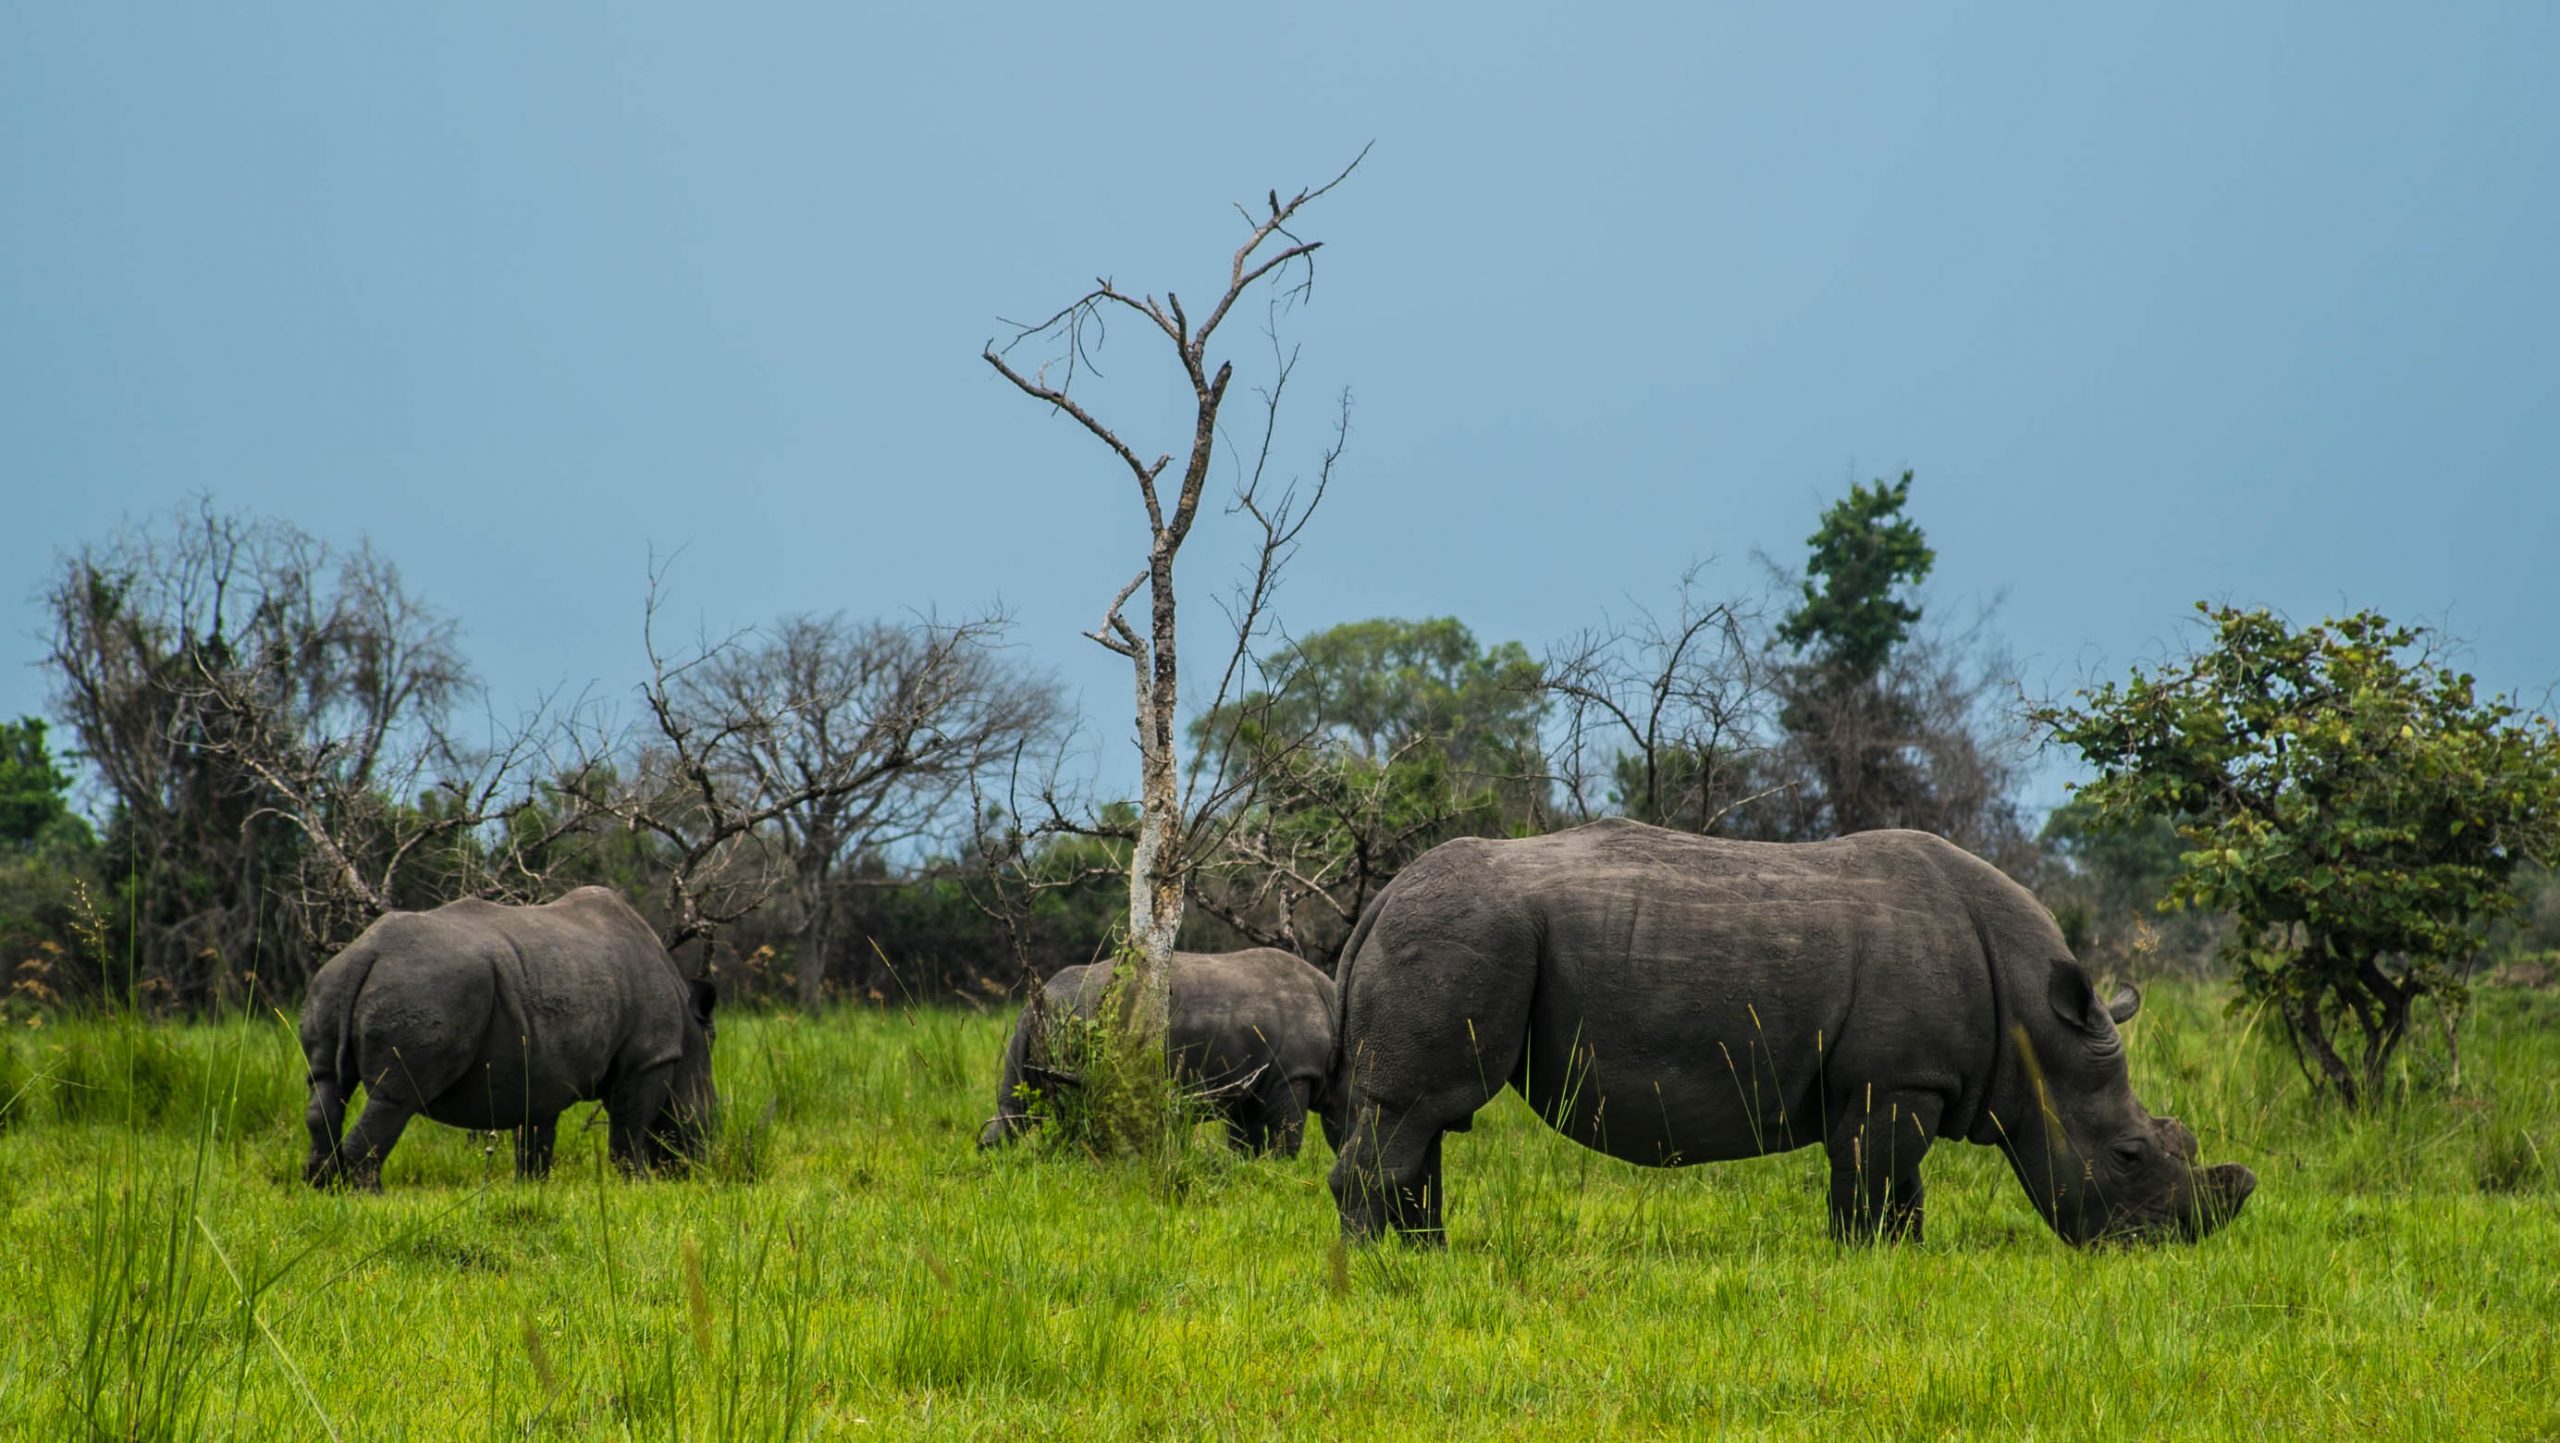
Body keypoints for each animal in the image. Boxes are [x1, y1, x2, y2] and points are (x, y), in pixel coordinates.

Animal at [300, 887, 716, 1190]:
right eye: (710, 1112)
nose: (703, 1162)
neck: (690, 1033)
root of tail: (366, 952)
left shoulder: (544, 1070)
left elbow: (536, 1134)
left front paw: (532, 1188)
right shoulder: (650, 1058)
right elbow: (630, 1127)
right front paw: (640, 1185)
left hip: (331, 984)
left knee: (326, 1083)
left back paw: (321, 1188)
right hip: (424, 988)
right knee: (396, 1097)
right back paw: (369, 1195)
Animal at [980, 948, 1343, 1157]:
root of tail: (1039, 1000)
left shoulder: (1248, 1080)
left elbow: (1245, 1139)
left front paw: (1252, 1168)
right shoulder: (1292, 1073)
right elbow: (1287, 1135)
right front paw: (1282, 1168)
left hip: (1039, 1023)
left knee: (1016, 1107)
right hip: (1079, 1020)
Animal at [1328, 819, 2256, 1246]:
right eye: (2129, 1154)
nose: (2166, 1245)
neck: (2034, 1022)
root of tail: (1384, 893)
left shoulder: (1897, 1080)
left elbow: (1897, 1183)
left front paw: (1902, 1258)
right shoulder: (1899, 1078)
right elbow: (1874, 1177)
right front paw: (1867, 1259)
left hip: (1459, 936)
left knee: (1424, 1118)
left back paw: (1428, 1257)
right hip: (1465, 934)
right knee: (1418, 1109)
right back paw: (1385, 1270)